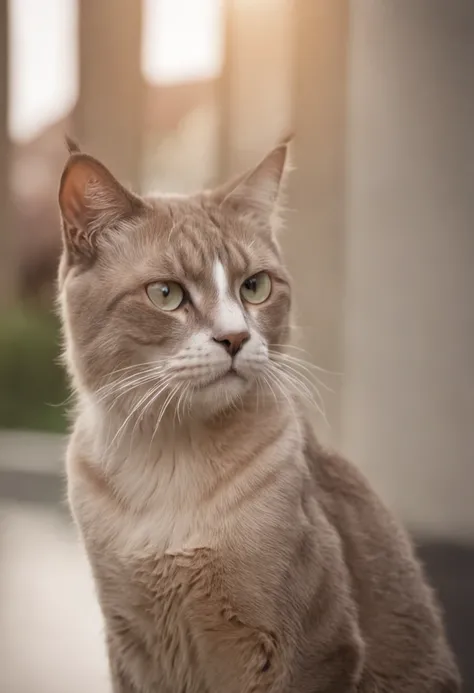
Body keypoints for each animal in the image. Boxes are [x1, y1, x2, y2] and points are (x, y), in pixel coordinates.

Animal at [57, 142, 462, 692]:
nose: (235, 338)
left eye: (254, 287)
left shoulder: (314, 648)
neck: (170, 464)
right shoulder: (132, 650)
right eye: (166, 294)